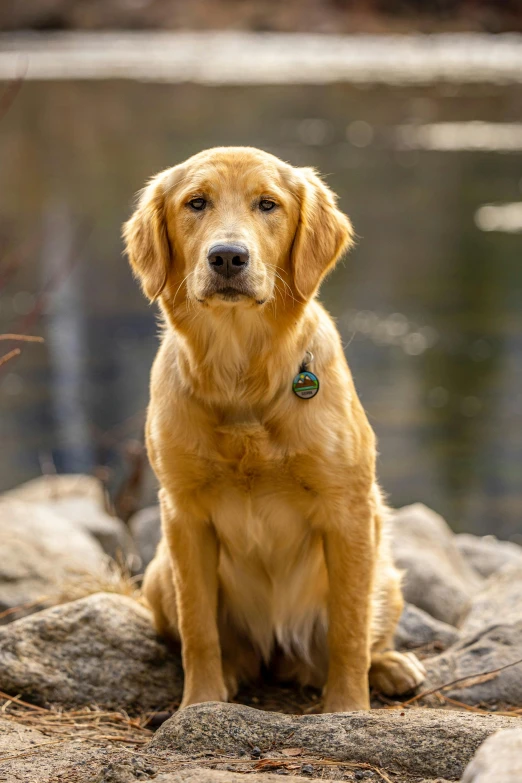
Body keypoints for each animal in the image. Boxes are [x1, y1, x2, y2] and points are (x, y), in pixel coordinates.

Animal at [124, 144, 424, 712]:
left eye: (268, 204)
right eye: (196, 202)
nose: (227, 257)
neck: (240, 380)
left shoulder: (349, 511)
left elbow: (350, 628)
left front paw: (348, 710)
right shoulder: (183, 516)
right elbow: (199, 628)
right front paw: (199, 705)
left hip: (386, 569)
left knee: (359, 635)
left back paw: (391, 666)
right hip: (157, 574)